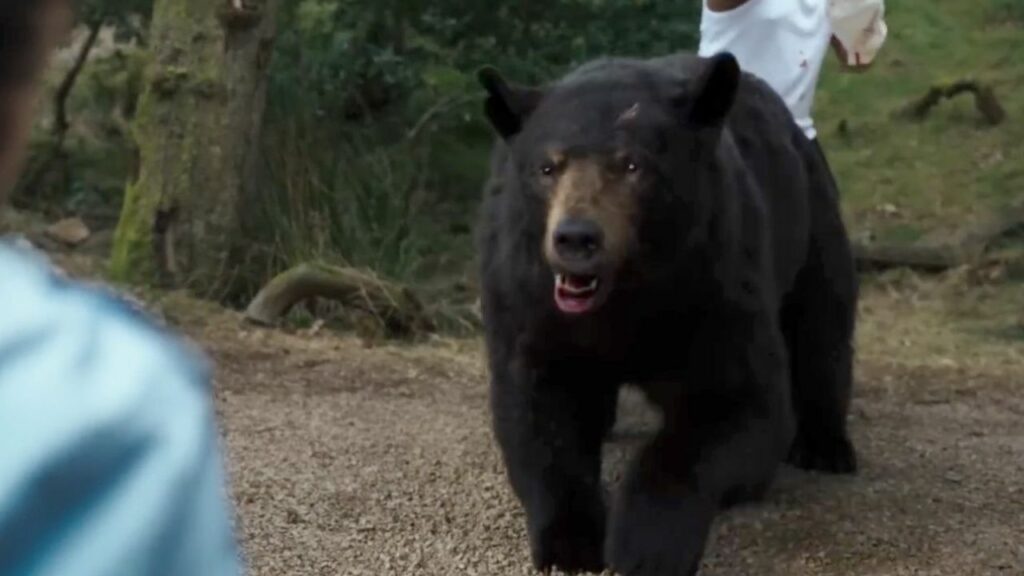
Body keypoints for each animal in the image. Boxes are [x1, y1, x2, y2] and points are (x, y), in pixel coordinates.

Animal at [475, 52, 859, 575]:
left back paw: (826, 446)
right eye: (547, 167)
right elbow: (538, 408)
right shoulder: (528, 294)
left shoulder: (715, 283)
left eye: (633, 164)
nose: (576, 237)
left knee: (822, 325)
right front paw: (570, 545)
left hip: (809, 219)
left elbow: (741, 406)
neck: (629, 293)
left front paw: (644, 548)